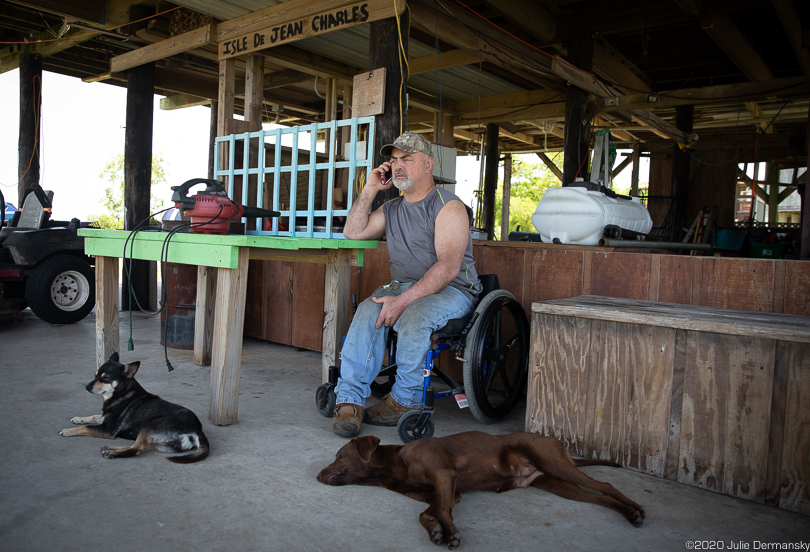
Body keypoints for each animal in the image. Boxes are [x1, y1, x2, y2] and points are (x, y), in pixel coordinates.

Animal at [61, 354, 210, 462]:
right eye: (95, 374)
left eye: (106, 378)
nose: (87, 387)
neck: (123, 393)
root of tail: (197, 429)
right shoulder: (105, 419)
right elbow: (93, 417)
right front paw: (78, 419)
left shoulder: (108, 429)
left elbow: (86, 427)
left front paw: (68, 431)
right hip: (160, 443)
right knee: (141, 447)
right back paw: (111, 448)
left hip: (150, 425)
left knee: (137, 449)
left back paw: (111, 453)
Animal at [318, 432, 644, 548]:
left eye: (338, 455)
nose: (318, 474)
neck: (395, 465)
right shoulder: (445, 493)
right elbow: (428, 513)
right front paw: (435, 530)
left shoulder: (444, 476)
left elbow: (441, 511)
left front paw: (450, 533)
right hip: (556, 484)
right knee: (599, 498)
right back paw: (629, 514)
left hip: (556, 464)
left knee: (605, 485)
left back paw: (635, 509)